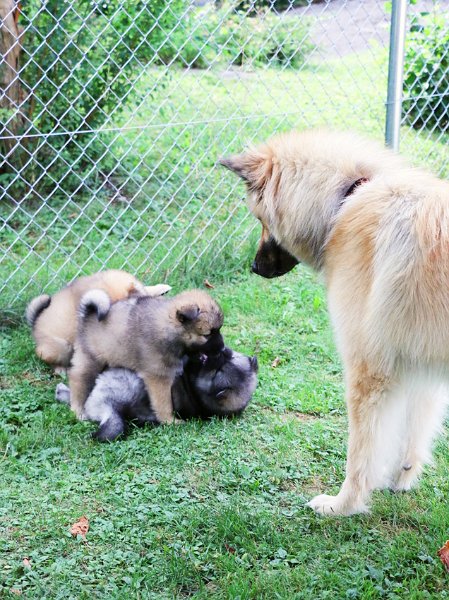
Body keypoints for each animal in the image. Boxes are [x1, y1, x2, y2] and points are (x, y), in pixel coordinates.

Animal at [68, 288, 224, 424]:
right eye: (207, 334)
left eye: (219, 329)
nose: (222, 348)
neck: (168, 327)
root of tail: (87, 317)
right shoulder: (158, 377)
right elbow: (163, 403)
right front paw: (170, 421)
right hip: (91, 360)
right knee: (77, 381)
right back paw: (78, 411)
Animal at [220, 126, 448, 516]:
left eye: (260, 218)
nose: (254, 267)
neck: (346, 196)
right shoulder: (419, 364)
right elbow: (414, 431)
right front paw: (402, 477)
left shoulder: (369, 370)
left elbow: (362, 452)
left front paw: (344, 504)